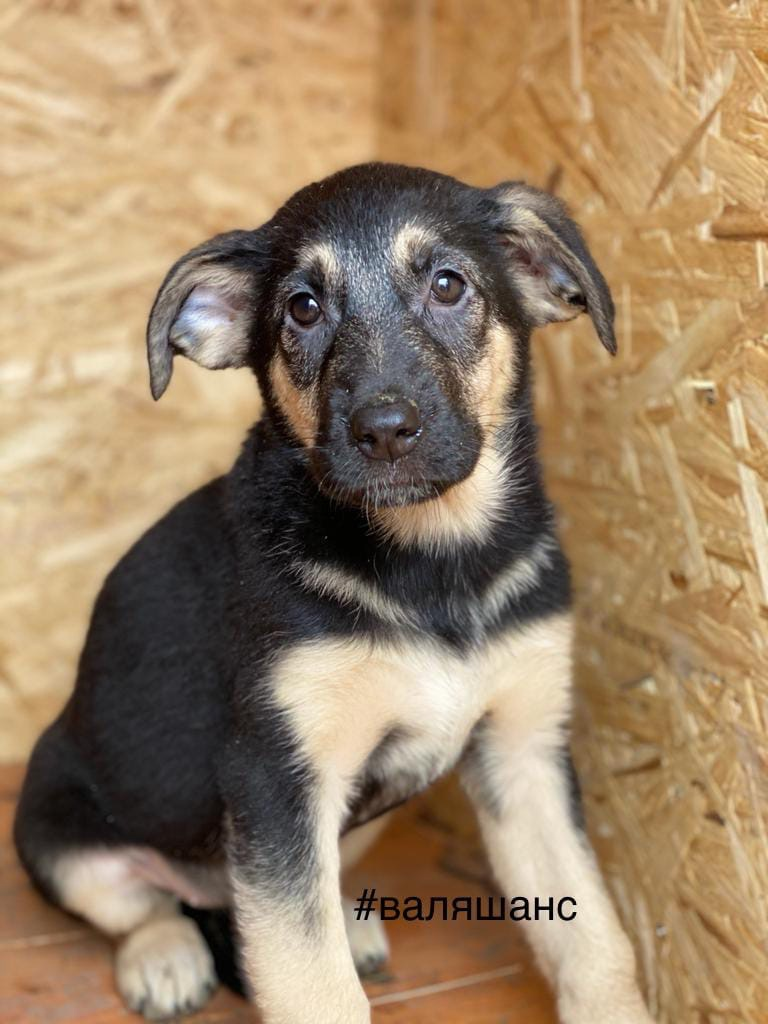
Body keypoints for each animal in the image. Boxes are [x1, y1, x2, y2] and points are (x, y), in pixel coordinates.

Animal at [13, 163, 655, 1019]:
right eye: (303, 308)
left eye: (449, 285)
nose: (383, 431)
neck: (431, 565)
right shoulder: (278, 778)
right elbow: (311, 982)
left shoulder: (525, 753)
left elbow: (597, 942)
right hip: (55, 822)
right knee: (144, 904)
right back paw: (166, 957)